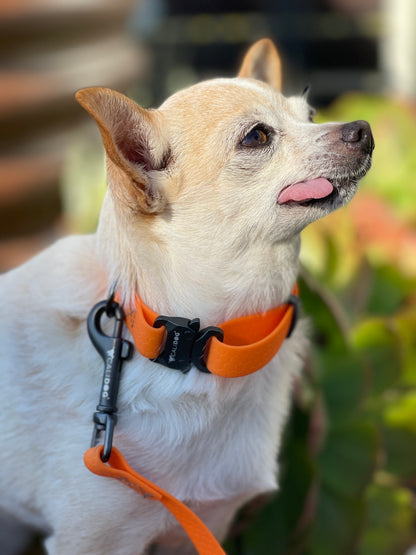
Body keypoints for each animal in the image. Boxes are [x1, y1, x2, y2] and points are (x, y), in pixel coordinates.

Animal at [0, 40, 374, 555]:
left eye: (311, 114)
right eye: (257, 137)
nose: (363, 129)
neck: (202, 348)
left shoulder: (200, 526)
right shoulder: (92, 540)